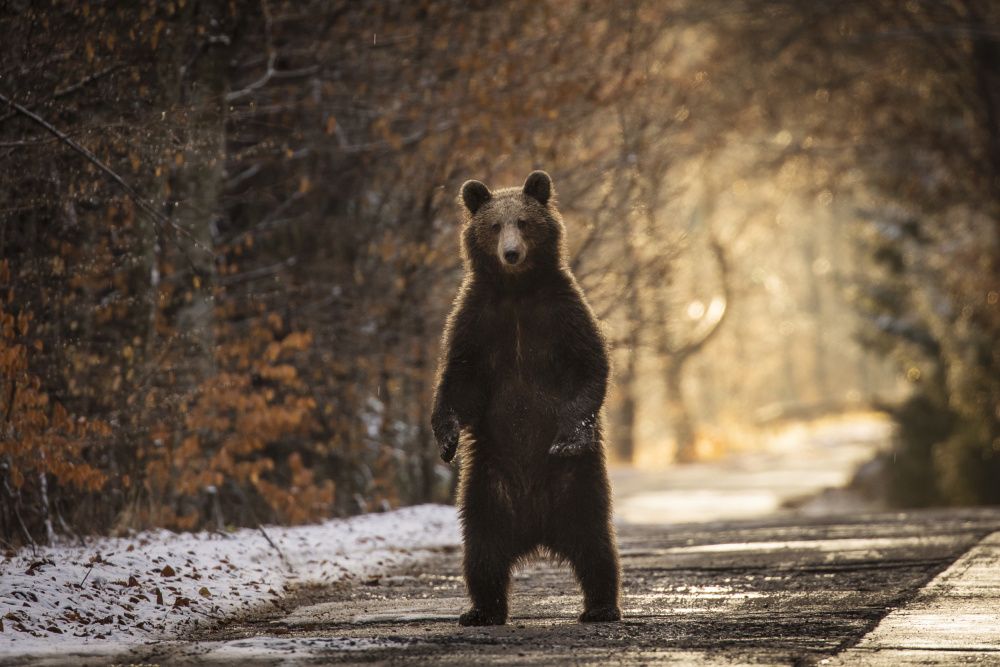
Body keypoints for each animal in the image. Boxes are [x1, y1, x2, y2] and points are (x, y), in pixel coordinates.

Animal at [431, 170, 621, 627]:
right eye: (494, 225)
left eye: (524, 221)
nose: (511, 253)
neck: (516, 290)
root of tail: (536, 531)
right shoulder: (476, 320)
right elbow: (458, 378)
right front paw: (447, 438)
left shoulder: (562, 313)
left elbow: (590, 366)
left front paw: (568, 436)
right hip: (487, 487)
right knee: (481, 550)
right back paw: (481, 610)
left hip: (578, 484)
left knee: (595, 543)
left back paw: (601, 606)